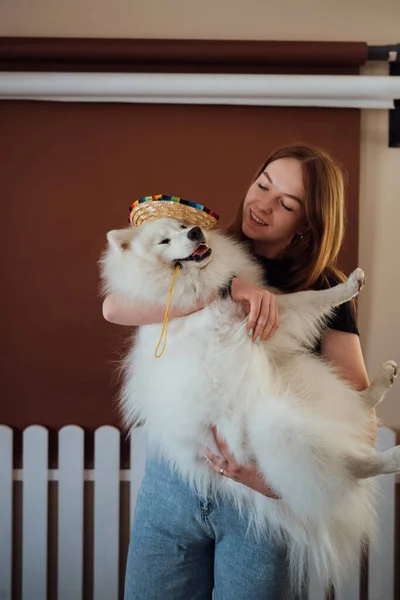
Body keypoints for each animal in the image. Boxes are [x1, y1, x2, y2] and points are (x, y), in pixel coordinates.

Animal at [100, 218, 400, 592]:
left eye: (184, 224)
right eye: (165, 240)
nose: (196, 232)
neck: (197, 287)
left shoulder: (266, 313)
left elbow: (307, 297)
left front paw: (348, 286)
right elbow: (302, 298)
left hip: (304, 378)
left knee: (356, 411)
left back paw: (381, 381)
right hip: (277, 427)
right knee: (350, 466)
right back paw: (392, 456)